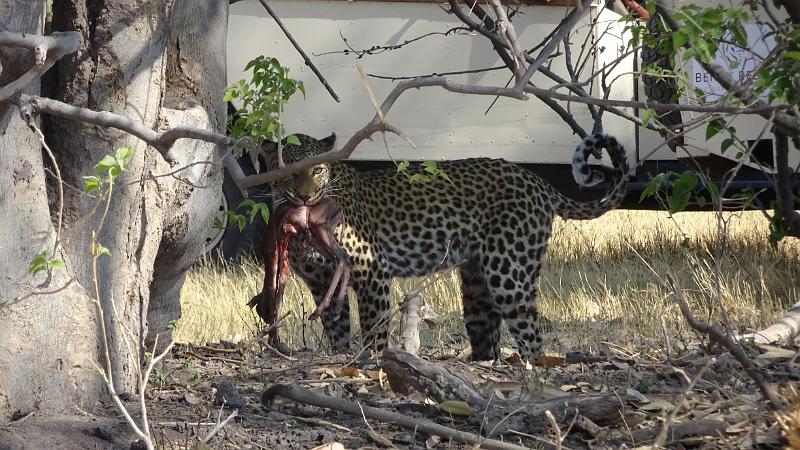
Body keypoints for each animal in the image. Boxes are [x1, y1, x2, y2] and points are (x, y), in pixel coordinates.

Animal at [266, 133, 628, 362]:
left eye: (317, 169)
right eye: (288, 172)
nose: (305, 197)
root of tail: (537, 181)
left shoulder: (372, 272)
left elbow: (374, 327)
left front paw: (371, 360)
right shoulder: (321, 283)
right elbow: (336, 327)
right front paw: (341, 358)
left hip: (509, 275)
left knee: (533, 336)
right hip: (477, 286)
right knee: (488, 334)